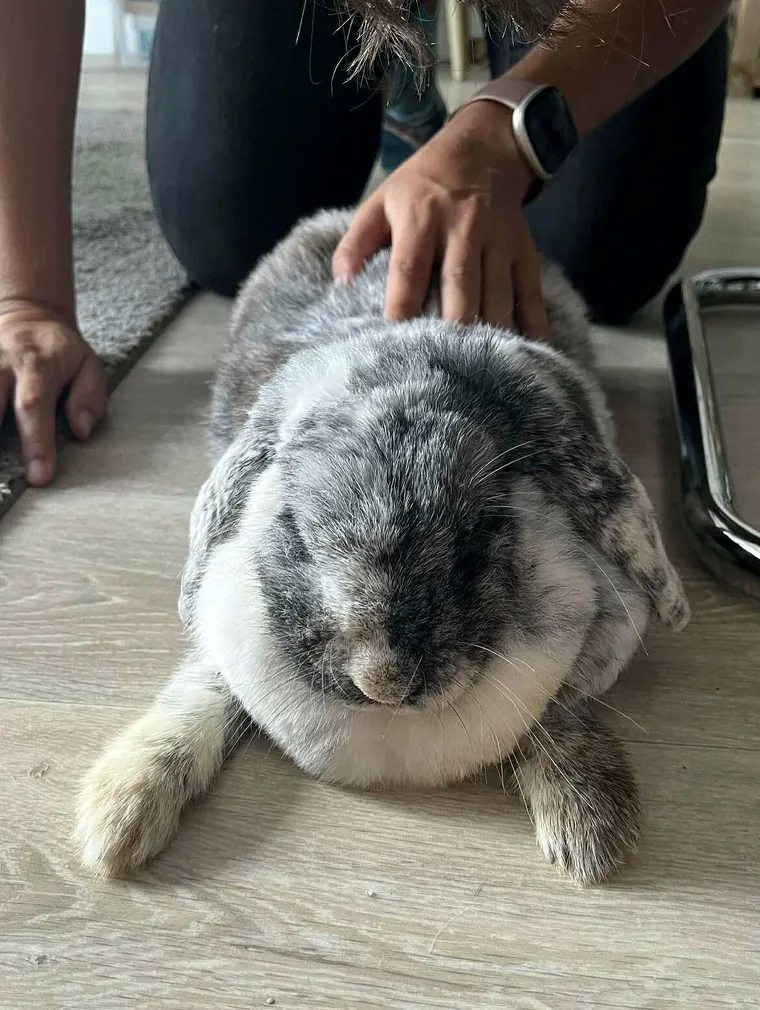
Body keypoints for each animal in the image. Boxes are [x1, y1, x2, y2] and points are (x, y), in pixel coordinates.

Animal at [75, 209, 689, 884]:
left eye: (475, 539)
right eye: (297, 531)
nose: (383, 682)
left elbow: (557, 713)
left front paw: (590, 828)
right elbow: (204, 688)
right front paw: (119, 815)